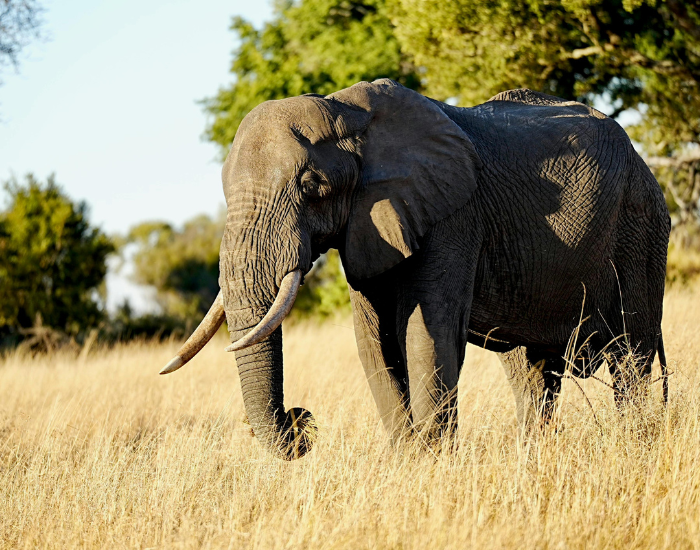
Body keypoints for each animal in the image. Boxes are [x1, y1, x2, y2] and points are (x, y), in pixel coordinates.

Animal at [160, 79, 671, 460]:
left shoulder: (454, 213)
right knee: (531, 374)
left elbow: (428, 333)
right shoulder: (370, 224)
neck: (349, 114)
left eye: (311, 185)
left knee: (631, 355)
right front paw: (409, 460)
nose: (299, 421)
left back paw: (635, 447)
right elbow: (374, 342)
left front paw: (432, 460)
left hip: (640, 225)